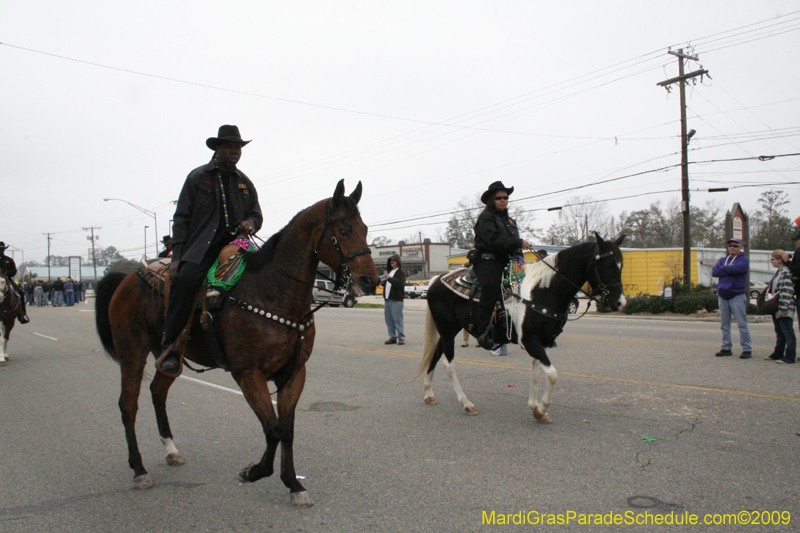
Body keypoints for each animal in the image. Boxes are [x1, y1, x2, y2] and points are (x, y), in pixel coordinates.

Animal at [92, 181, 380, 504]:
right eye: (343, 229)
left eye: (365, 228)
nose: (370, 281)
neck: (271, 294)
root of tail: (126, 278)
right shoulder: (248, 374)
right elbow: (273, 429)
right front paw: (253, 472)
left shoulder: (294, 373)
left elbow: (287, 430)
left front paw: (294, 484)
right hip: (132, 352)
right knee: (128, 404)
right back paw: (139, 470)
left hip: (169, 357)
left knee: (157, 392)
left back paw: (171, 450)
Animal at [416, 235, 628, 422]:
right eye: (607, 264)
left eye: (621, 265)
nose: (619, 302)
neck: (544, 291)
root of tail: (436, 280)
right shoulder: (530, 340)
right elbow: (552, 374)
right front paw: (542, 408)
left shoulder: (541, 341)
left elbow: (537, 373)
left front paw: (535, 408)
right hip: (447, 329)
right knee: (448, 364)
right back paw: (466, 403)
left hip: (449, 330)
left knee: (435, 354)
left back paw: (428, 393)